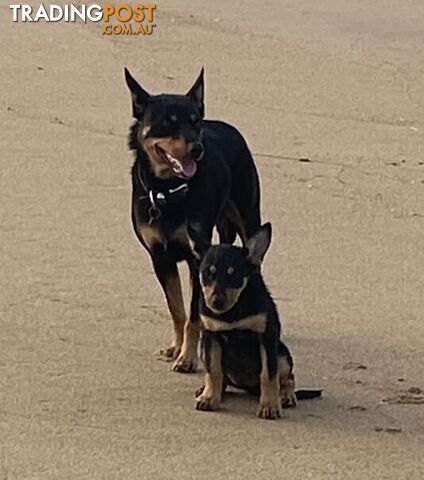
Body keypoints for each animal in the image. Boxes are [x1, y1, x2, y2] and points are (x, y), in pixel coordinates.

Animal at [124, 67, 260, 374]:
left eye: (195, 123)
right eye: (168, 122)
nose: (197, 148)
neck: (168, 190)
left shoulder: (198, 258)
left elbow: (194, 315)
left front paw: (187, 357)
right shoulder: (161, 258)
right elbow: (177, 310)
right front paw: (177, 348)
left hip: (249, 217)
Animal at [190, 223, 322, 418]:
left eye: (233, 274)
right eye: (208, 272)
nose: (216, 302)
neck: (233, 312)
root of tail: (249, 388)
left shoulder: (266, 337)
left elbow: (268, 376)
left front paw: (270, 407)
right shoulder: (211, 336)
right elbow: (214, 370)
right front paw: (209, 398)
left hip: (282, 353)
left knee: (287, 379)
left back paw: (286, 396)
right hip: (203, 348)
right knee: (219, 376)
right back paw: (206, 390)